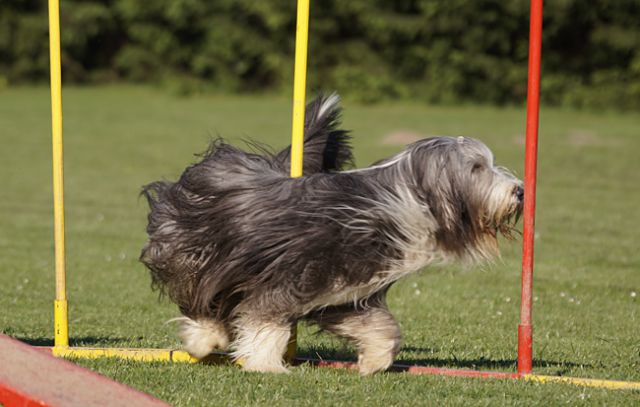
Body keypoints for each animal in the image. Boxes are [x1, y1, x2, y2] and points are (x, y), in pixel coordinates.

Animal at [139, 94, 520, 374]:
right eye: (477, 167)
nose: (519, 191)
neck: (401, 198)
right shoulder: (294, 276)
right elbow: (266, 319)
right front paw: (265, 364)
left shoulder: (345, 290)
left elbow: (381, 326)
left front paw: (374, 361)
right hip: (196, 249)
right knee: (199, 297)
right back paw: (205, 338)